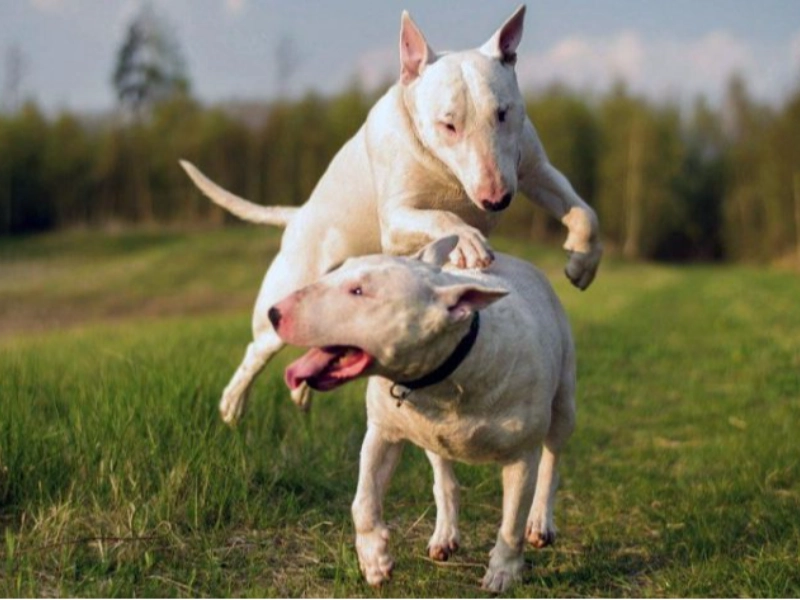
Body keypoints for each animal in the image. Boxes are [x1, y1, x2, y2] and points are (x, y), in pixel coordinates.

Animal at [180, 4, 600, 424]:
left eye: (502, 113)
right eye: (448, 124)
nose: (495, 199)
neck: (445, 172)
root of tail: (299, 215)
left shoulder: (532, 170)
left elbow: (583, 212)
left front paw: (581, 264)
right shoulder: (396, 220)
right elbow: (440, 217)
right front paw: (468, 242)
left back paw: (301, 394)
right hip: (289, 287)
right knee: (258, 348)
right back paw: (233, 404)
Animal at [268, 235, 576, 592]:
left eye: (358, 291)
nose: (274, 313)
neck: (443, 377)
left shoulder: (521, 456)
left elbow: (512, 522)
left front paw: (503, 573)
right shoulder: (383, 433)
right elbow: (363, 501)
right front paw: (375, 561)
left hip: (564, 402)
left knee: (552, 460)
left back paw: (540, 522)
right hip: (431, 437)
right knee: (444, 478)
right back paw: (444, 536)